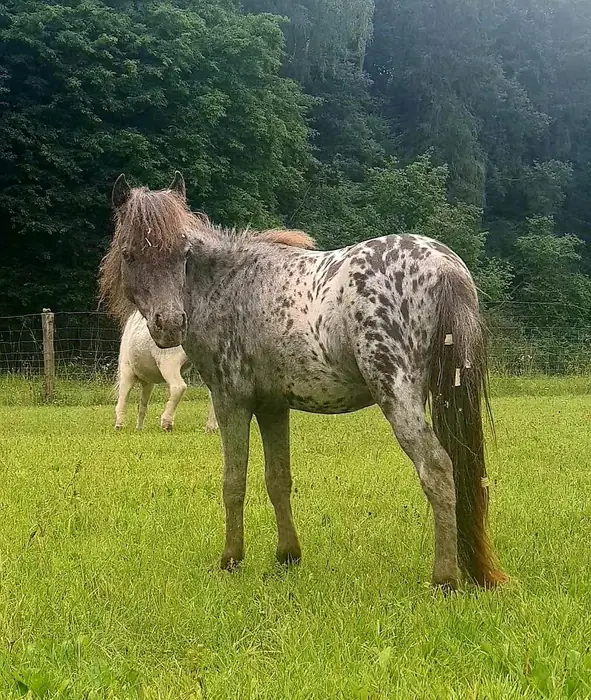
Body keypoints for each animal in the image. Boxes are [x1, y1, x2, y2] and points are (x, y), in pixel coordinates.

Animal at [99, 171, 508, 590]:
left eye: (183, 254)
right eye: (130, 254)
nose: (170, 323)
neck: (229, 283)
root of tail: (443, 264)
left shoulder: (232, 402)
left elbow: (234, 482)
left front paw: (231, 559)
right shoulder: (272, 407)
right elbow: (278, 480)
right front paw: (287, 555)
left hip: (398, 396)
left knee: (437, 469)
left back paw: (444, 578)